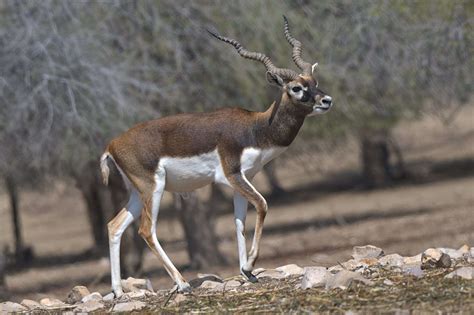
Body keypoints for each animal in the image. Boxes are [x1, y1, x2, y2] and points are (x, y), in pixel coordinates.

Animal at [101, 16, 334, 298]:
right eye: (296, 88)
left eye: (314, 81)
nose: (327, 100)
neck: (256, 128)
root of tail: (112, 144)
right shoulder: (231, 176)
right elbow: (263, 205)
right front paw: (249, 265)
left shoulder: (242, 180)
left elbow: (239, 222)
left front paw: (247, 272)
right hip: (153, 188)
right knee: (146, 230)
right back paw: (182, 283)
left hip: (138, 192)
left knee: (114, 226)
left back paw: (118, 291)